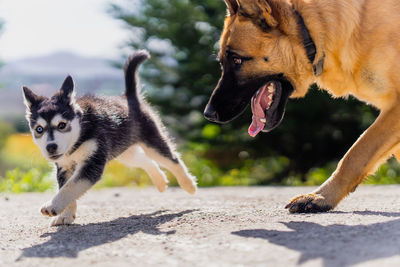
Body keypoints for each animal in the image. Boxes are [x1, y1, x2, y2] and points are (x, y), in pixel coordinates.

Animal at [21, 50, 197, 226]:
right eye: (39, 129)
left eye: (62, 125)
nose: (51, 147)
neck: (80, 134)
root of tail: (128, 97)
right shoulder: (65, 166)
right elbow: (66, 187)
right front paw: (65, 215)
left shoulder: (92, 164)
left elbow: (70, 187)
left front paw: (53, 206)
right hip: (126, 151)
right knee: (146, 161)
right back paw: (160, 181)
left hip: (151, 142)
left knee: (172, 159)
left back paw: (189, 185)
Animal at [205, 0, 400, 214]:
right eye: (222, 61)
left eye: (237, 60)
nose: (208, 114)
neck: (310, 30)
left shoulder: (394, 110)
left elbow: (355, 155)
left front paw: (321, 197)